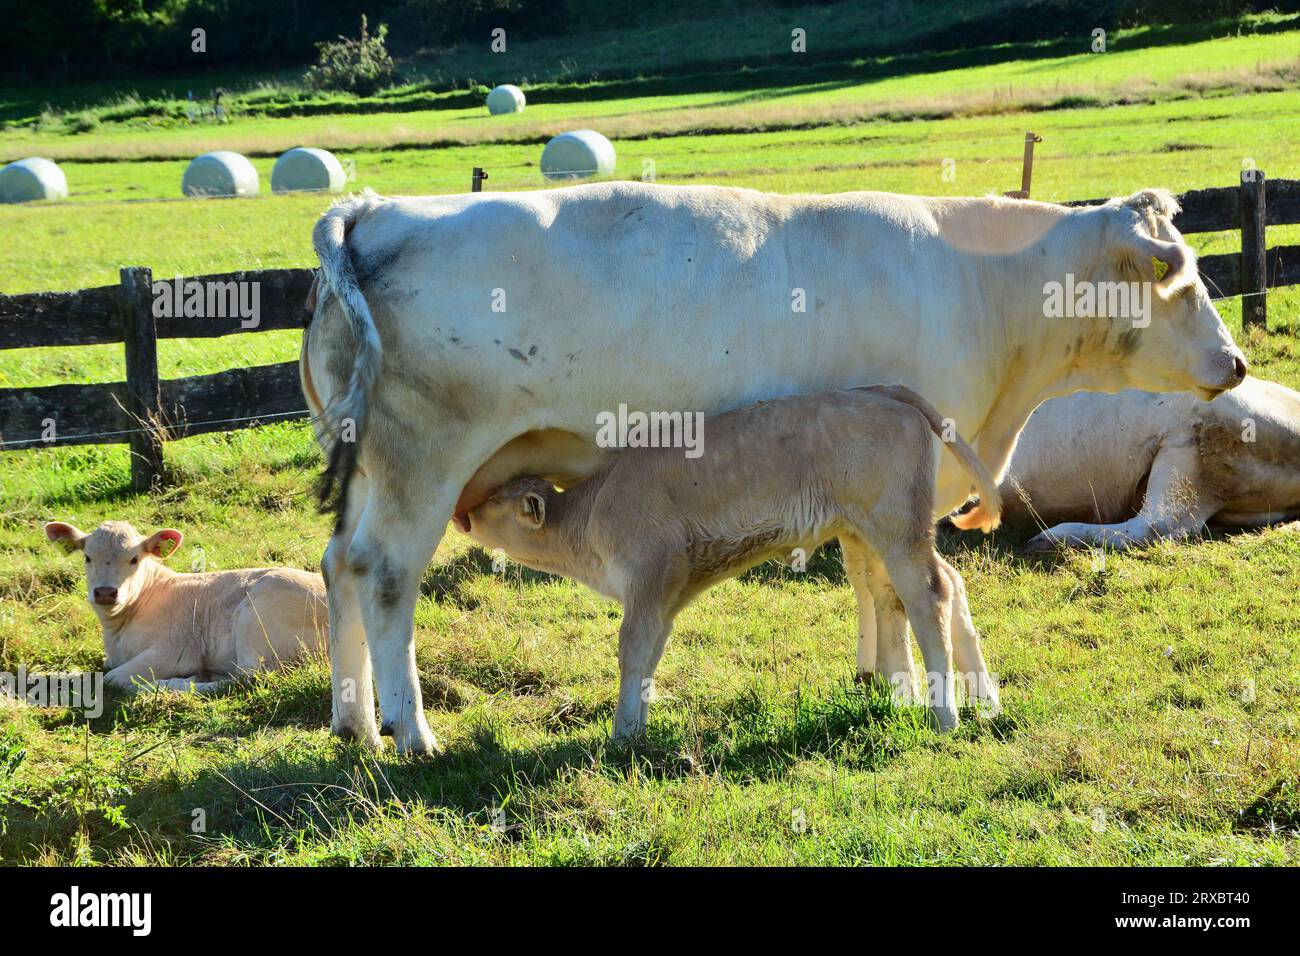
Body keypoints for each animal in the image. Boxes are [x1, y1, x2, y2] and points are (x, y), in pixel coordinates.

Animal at [43, 520, 327, 691]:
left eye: (134, 559)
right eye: (87, 557)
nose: (105, 592)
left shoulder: (175, 649)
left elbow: (113, 679)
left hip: (255, 619)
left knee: (246, 679)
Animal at [465, 385, 1003, 737]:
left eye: (493, 502)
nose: (464, 514)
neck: (595, 511)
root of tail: (881, 391)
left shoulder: (645, 577)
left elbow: (631, 651)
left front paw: (620, 735)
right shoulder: (665, 595)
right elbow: (651, 653)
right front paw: (637, 728)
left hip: (896, 531)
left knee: (929, 595)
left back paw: (946, 715)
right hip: (879, 533)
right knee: (946, 583)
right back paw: (986, 701)